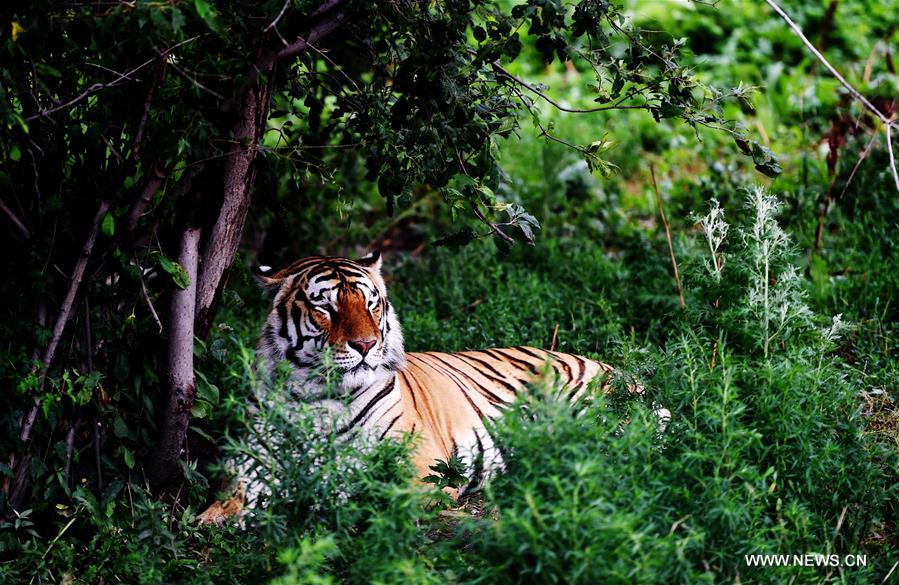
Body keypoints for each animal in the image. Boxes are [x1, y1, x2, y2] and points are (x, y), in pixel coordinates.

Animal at [199, 252, 660, 524]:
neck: (317, 395)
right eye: (325, 307)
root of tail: (618, 370)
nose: (365, 345)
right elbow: (230, 498)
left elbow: (367, 490)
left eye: (371, 304)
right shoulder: (252, 462)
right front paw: (207, 522)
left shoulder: (416, 464)